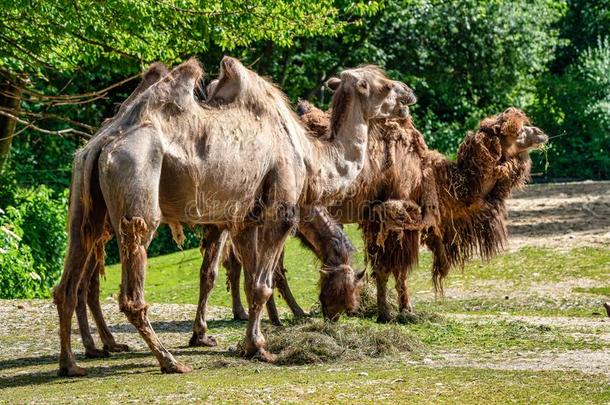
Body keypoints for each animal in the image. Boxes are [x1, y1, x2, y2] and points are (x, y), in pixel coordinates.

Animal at [54, 54, 414, 376]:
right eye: (383, 85)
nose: (409, 92)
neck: (310, 156)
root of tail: (102, 143)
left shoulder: (243, 219)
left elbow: (250, 277)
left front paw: (250, 342)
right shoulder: (280, 210)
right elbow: (262, 283)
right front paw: (261, 347)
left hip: (85, 204)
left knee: (68, 281)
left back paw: (71, 364)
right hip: (136, 187)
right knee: (131, 290)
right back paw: (169, 361)